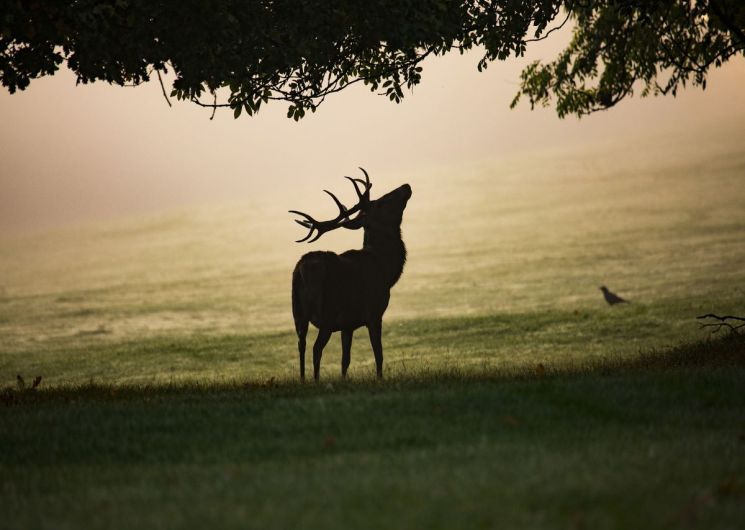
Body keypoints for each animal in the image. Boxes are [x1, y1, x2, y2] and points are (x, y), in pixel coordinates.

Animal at [290, 168, 412, 381]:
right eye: (380, 203)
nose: (406, 186)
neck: (386, 269)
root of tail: (302, 271)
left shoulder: (347, 324)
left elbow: (345, 360)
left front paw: (344, 379)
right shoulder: (374, 312)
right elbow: (379, 354)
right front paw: (379, 379)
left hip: (298, 312)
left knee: (301, 345)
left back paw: (304, 380)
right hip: (327, 311)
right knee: (316, 348)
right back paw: (316, 380)